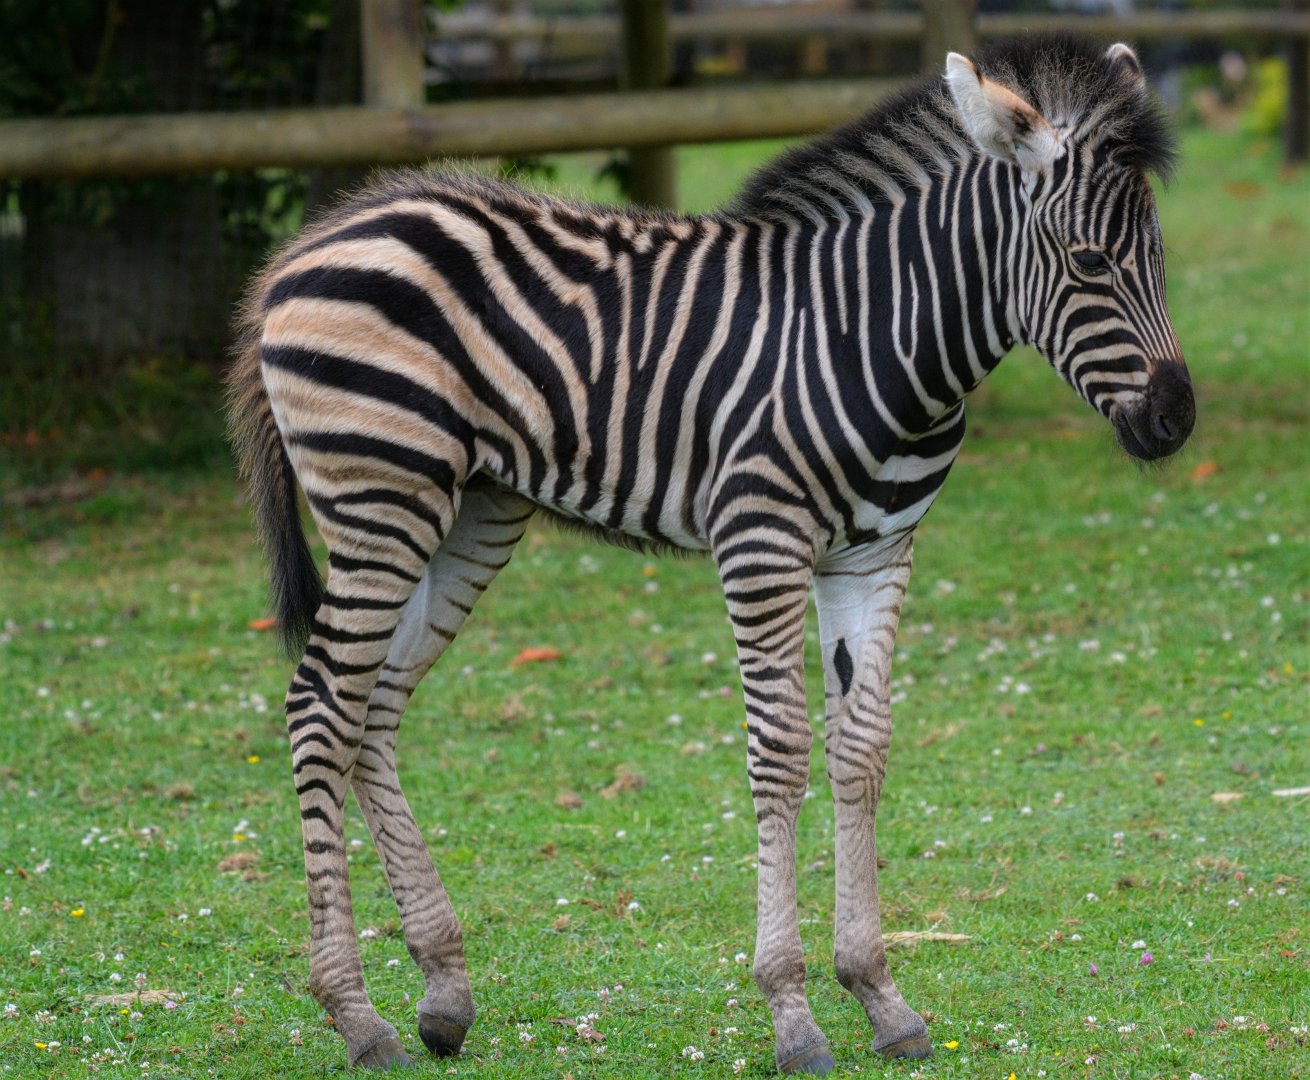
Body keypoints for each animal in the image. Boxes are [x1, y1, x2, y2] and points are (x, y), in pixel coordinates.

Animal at [226, 34, 1193, 1075]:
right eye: (1090, 262)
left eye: (1160, 257)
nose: (1177, 422)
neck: (880, 336)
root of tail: (319, 239)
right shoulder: (761, 541)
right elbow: (781, 753)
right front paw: (794, 1014)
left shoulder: (876, 552)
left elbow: (862, 747)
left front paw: (881, 997)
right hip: (382, 497)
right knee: (321, 708)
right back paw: (355, 1015)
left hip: (468, 513)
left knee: (374, 708)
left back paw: (443, 993)